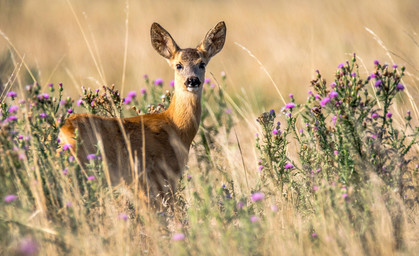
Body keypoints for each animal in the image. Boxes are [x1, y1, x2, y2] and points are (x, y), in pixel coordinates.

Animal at [59, 21, 226, 205]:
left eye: (202, 64)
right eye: (178, 65)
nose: (192, 81)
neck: (175, 127)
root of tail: (63, 130)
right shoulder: (157, 177)